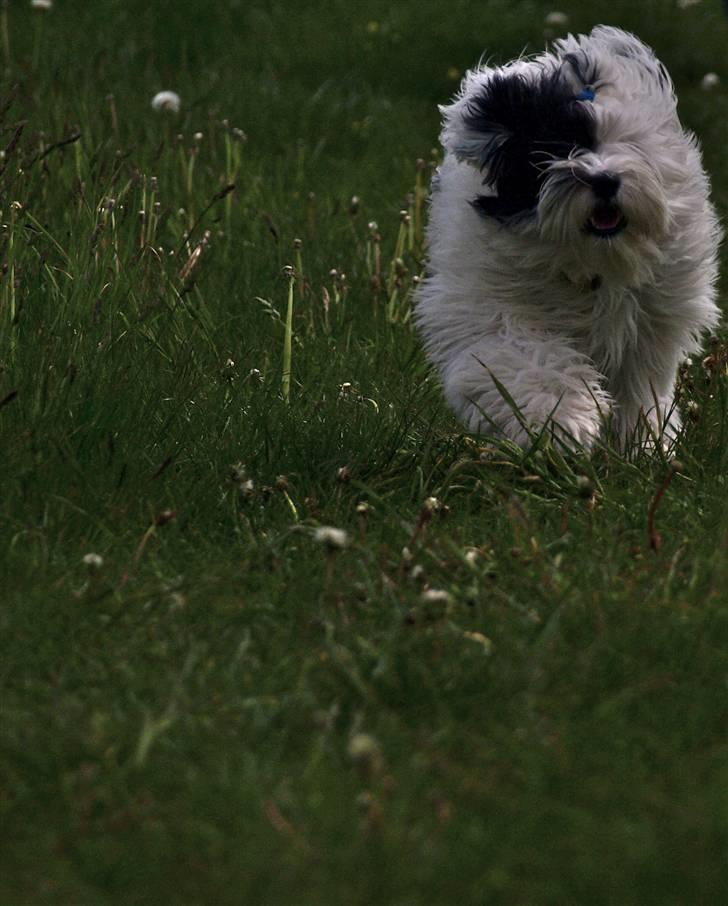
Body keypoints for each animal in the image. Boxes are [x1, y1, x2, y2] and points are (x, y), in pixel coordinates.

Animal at [416, 26, 724, 450]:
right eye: (555, 150)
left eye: (629, 144)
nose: (605, 180)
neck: (592, 261)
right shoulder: (494, 306)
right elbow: (526, 356)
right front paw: (560, 420)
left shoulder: (649, 325)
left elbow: (640, 389)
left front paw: (642, 447)